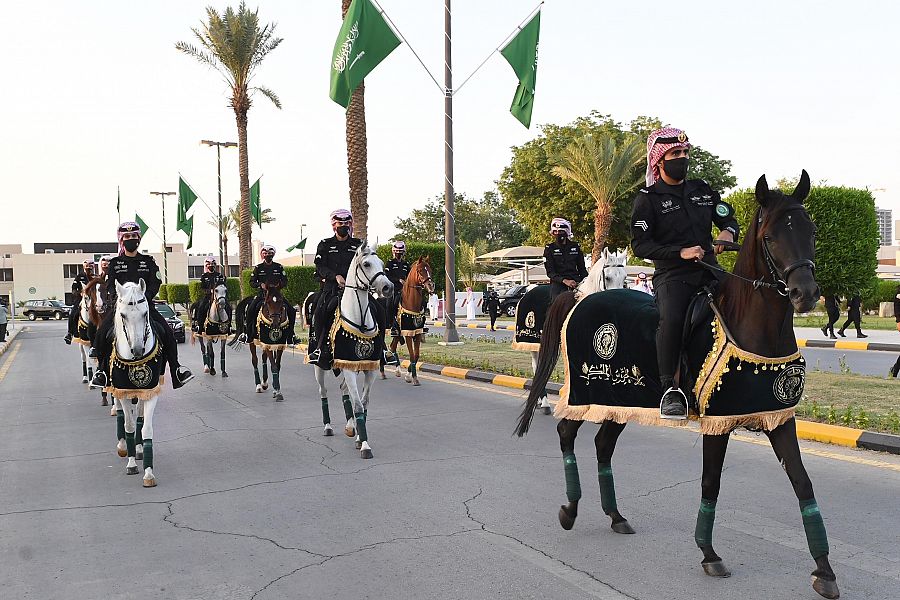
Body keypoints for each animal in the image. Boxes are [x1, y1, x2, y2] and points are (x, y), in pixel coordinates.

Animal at [110, 282, 163, 488]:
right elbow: (130, 425)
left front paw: (148, 472)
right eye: (123, 315)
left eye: (145, 313)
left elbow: (145, 427)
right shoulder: (123, 392)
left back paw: (139, 449)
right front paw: (131, 464)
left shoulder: (151, 391)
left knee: (139, 415)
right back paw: (123, 446)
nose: (138, 350)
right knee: (121, 413)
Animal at [312, 241, 392, 458]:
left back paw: (350, 426)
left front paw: (358, 437)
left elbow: (363, 404)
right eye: (366, 264)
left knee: (343, 389)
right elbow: (357, 404)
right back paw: (328, 426)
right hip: (319, 367)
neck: (360, 319)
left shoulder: (369, 368)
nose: (388, 287)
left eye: (382, 264)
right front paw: (365, 446)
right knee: (323, 392)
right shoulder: (347, 367)